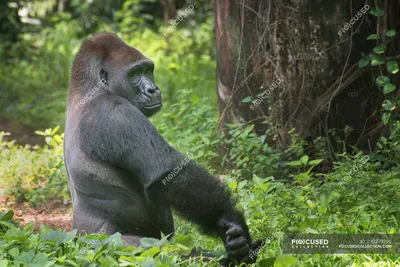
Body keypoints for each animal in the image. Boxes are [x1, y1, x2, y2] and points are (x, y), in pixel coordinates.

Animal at [65, 32, 262, 264]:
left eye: (147, 70)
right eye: (134, 73)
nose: (152, 90)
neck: (88, 91)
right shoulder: (114, 112)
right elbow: (167, 173)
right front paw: (229, 221)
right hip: (105, 250)